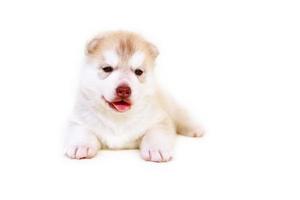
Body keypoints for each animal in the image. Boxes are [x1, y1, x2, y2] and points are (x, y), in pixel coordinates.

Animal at [64, 31, 203, 162]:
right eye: (107, 69)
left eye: (138, 72)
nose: (124, 90)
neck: (118, 119)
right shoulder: (78, 120)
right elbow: (81, 131)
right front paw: (80, 145)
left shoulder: (160, 120)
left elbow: (155, 133)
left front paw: (156, 149)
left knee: (182, 116)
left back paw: (196, 129)